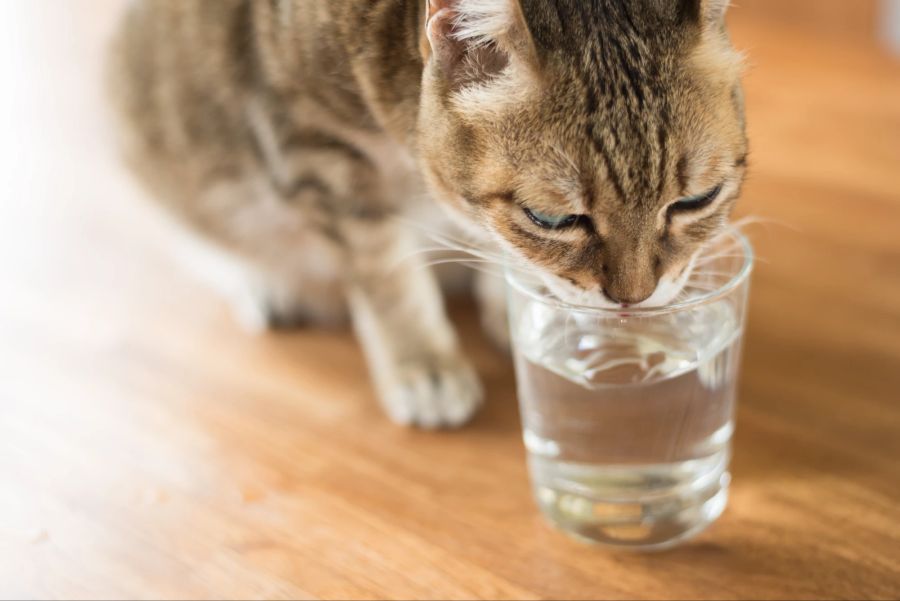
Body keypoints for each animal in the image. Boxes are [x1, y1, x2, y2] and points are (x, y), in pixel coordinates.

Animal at [109, 2, 748, 428]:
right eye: (550, 219)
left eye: (697, 200)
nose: (634, 301)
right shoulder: (315, 150)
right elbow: (390, 280)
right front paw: (424, 364)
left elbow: (487, 243)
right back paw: (263, 282)